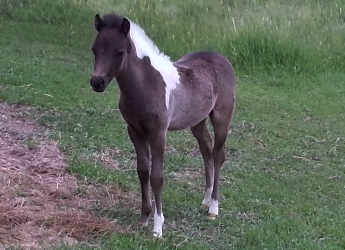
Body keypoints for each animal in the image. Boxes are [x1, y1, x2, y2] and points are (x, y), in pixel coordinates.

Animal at [89, 12, 234, 237]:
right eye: (94, 49)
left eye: (120, 52)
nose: (97, 82)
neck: (146, 84)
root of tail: (222, 58)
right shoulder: (134, 131)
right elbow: (142, 171)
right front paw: (143, 217)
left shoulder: (158, 133)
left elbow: (157, 177)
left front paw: (158, 228)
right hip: (197, 121)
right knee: (206, 149)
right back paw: (205, 199)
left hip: (221, 117)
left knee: (218, 154)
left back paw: (213, 208)